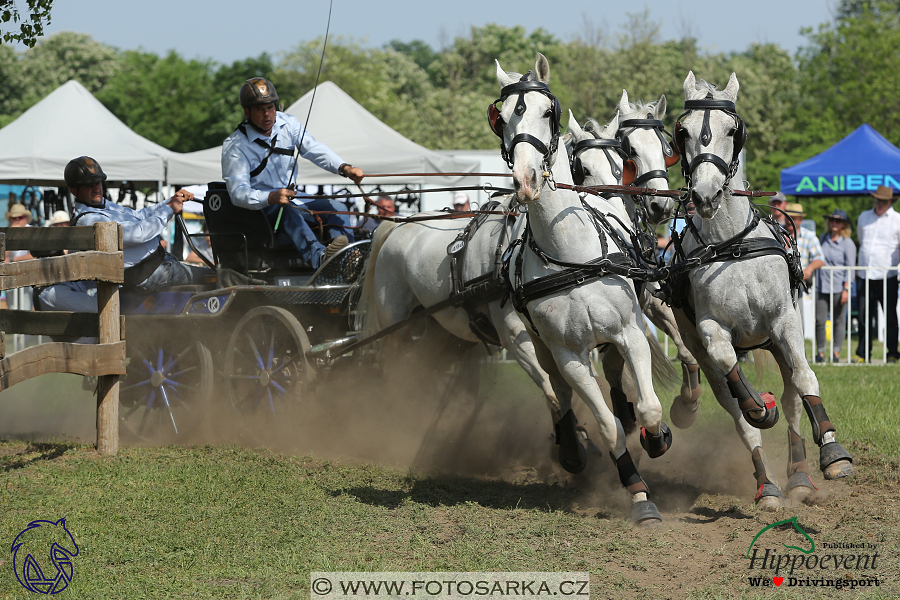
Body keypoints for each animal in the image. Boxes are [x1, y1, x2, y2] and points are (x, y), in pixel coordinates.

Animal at [668, 71, 852, 510]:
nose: (704, 196)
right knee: (736, 409)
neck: (732, 247)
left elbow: (805, 381)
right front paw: (758, 408)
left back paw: (800, 474)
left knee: (791, 400)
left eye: (731, 130)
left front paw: (833, 452)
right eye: (683, 131)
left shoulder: (785, 321)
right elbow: (734, 379)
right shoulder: (710, 330)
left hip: (776, 341)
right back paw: (767, 482)